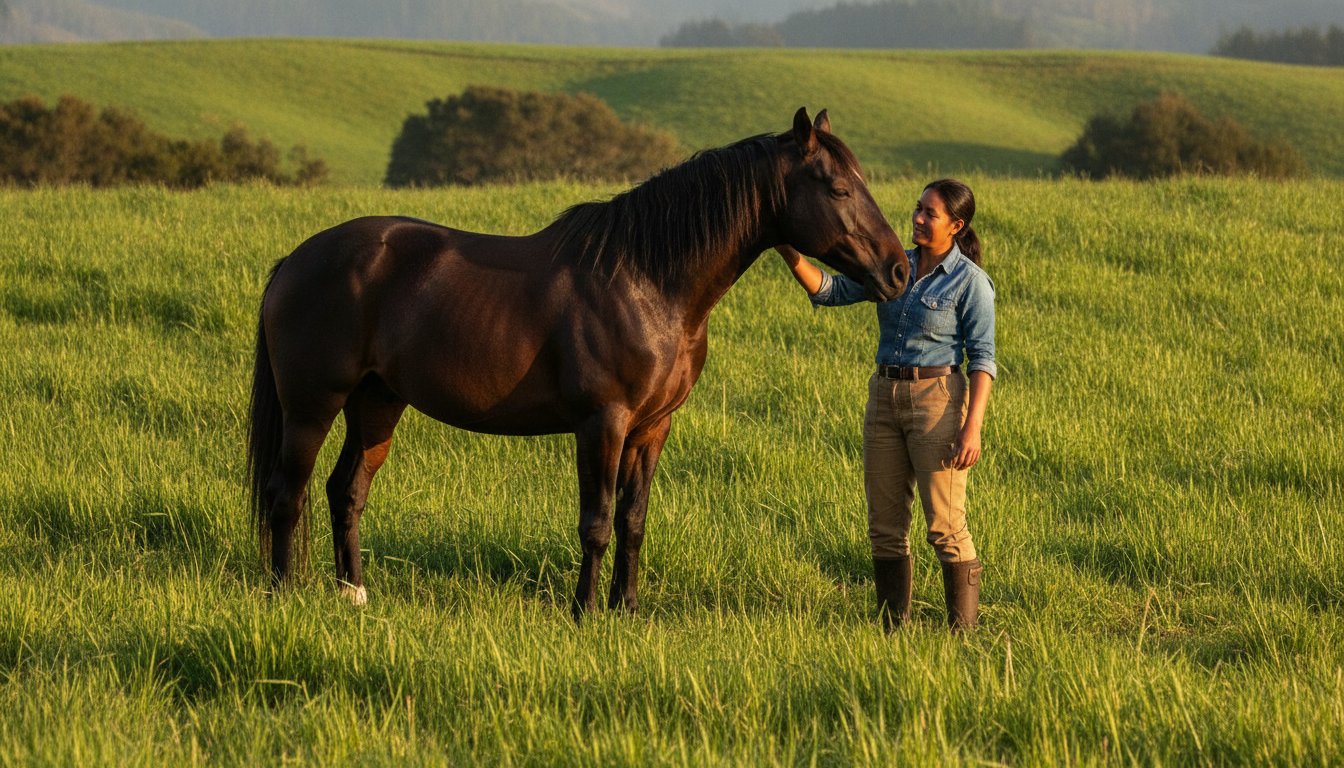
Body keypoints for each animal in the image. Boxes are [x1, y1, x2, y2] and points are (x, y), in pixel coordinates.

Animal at [247, 107, 910, 618]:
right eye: (839, 189)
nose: (899, 269)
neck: (647, 282)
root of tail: (295, 261)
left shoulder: (652, 428)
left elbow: (632, 521)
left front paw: (628, 608)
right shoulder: (603, 423)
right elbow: (595, 520)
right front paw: (585, 611)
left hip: (378, 402)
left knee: (346, 491)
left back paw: (353, 595)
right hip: (311, 407)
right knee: (287, 494)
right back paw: (284, 595)